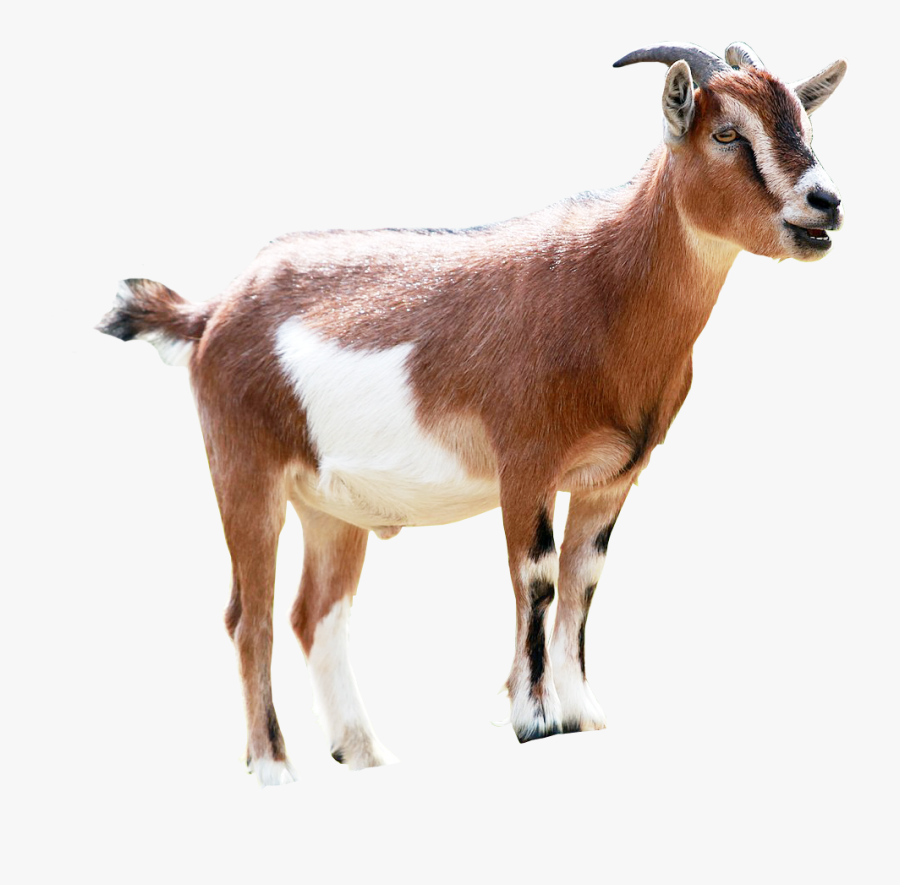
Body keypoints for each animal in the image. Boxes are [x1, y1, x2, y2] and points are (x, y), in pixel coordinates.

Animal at [97, 41, 846, 785]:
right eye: (726, 134)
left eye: (802, 122)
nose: (827, 203)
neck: (604, 288)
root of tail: (212, 312)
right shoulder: (526, 464)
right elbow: (538, 577)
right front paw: (534, 719)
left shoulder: (611, 479)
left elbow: (583, 579)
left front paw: (582, 712)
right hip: (244, 470)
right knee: (248, 614)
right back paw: (272, 766)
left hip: (329, 507)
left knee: (316, 613)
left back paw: (364, 752)